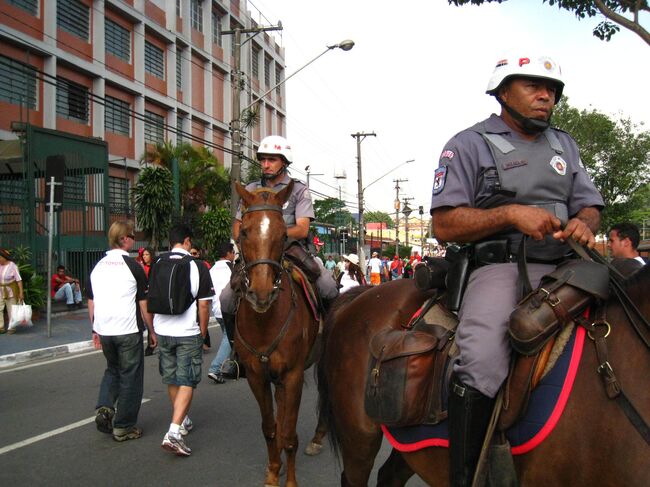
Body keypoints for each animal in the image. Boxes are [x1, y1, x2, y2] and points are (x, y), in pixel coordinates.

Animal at [235, 182, 322, 487]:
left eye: (284, 234)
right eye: (244, 231)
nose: (260, 294)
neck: (265, 321)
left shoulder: (294, 375)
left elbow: (289, 434)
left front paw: (291, 481)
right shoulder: (256, 376)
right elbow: (271, 428)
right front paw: (273, 472)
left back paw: (318, 439)